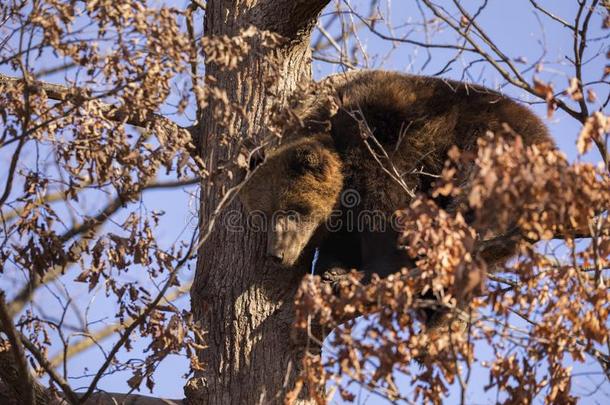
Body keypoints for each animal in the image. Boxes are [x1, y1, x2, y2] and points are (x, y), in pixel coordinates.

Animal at [238, 71, 552, 312]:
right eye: (262, 215)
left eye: (292, 210)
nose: (276, 254)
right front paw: (333, 270)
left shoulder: (380, 138)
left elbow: (384, 207)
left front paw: (364, 272)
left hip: (488, 146)